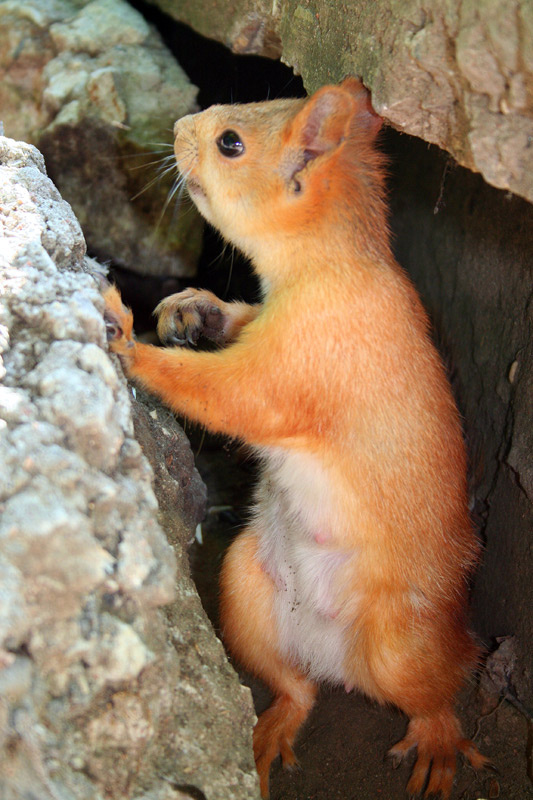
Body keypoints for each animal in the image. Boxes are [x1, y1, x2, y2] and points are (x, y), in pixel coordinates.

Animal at [104, 78, 489, 798]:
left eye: (231, 144)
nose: (178, 128)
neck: (322, 268)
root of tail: (332, 657)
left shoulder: (302, 364)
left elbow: (231, 397)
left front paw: (130, 342)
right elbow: (236, 321)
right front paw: (191, 308)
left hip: (401, 646)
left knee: (435, 693)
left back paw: (436, 744)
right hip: (243, 591)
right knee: (296, 689)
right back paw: (274, 728)